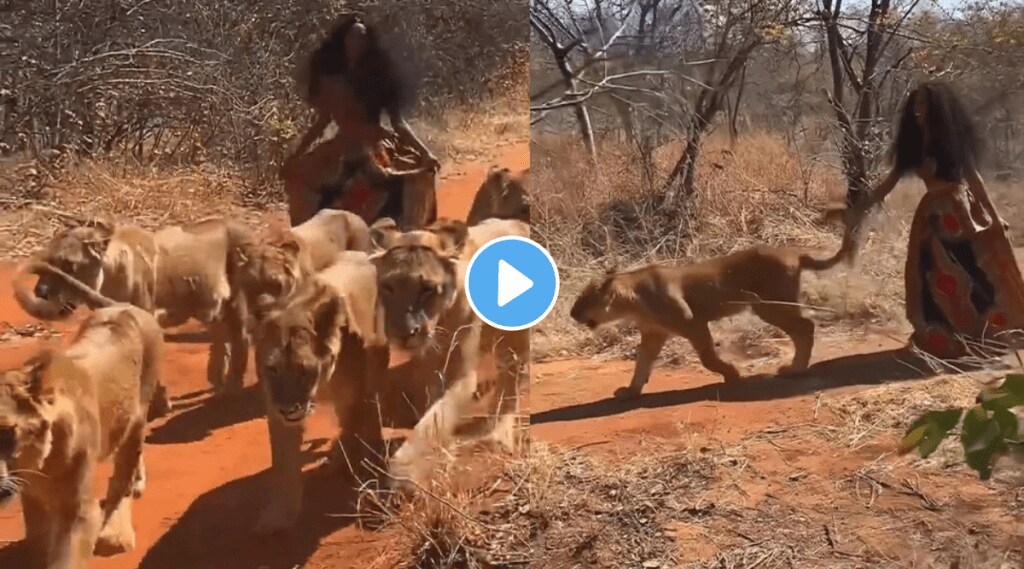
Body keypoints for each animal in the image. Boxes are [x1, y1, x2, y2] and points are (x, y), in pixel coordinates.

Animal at [0, 264, 162, 564]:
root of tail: (122, 306)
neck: (39, 466)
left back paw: (115, 533)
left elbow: (66, 558)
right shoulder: (34, 504)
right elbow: (39, 545)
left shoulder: (79, 513)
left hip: (138, 412)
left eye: (6, 432)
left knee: (122, 473)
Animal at [14, 215, 252, 397]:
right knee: (223, 334)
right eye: (49, 261)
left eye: (68, 265)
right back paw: (218, 381)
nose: (40, 292)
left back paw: (232, 387)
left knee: (240, 336)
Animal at [247, 250, 387, 532]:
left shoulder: (353, 396)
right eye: (273, 369)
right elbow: (284, 463)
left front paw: (353, 469)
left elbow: (353, 430)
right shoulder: (276, 412)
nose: (288, 410)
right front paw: (279, 516)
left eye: (305, 369)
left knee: (369, 414)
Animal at [366, 215, 532, 487]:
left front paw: (403, 473)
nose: (405, 333)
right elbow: (434, 412)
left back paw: (495, 434)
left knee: (512, 384)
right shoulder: (433, 367)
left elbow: (433, 421)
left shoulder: (462, 375)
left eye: (427, 288)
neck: (441, 321)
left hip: (516, 340)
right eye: (389, 287)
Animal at [569, 235, 856, 395]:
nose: (572, 314)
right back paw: (796, 368)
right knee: (803, 328)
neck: (632, 301)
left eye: (583, 300)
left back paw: (795, 369)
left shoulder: (693, 322)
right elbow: (641, 363)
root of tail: (795, 253)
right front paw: (631, 391)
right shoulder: (653, 334)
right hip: (772, 306)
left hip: (769, 306)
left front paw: (732, 375)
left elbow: (708, 358)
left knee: (806, 326)